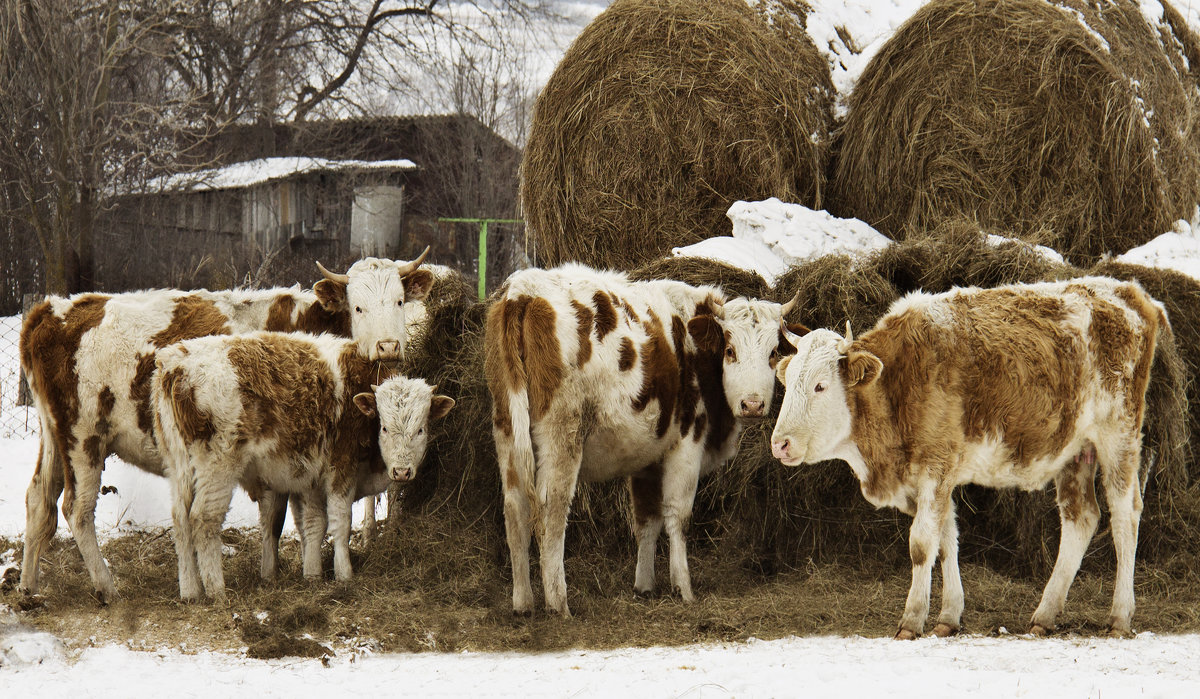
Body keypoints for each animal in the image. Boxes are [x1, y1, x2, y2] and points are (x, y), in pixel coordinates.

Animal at [150, 333, 451, 602]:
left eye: (421, 429)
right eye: (385, 428)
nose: (402, 471)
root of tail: (176, 365)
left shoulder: (309, 478)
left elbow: (314, 524)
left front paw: (312, 574)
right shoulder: (340, 469)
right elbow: (340, 522)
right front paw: (344, 574)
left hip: (179, 467)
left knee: (181, 520)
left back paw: (190, 590)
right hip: (217, 468)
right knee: (203, 519)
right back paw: (216, 590)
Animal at [482, 264, 801, 619]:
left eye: (773, 353)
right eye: (730, 351)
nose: (753, 404)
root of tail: (524, 290)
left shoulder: (647, 458)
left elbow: (647, 518)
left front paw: (645, 585)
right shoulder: (687, 445)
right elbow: (678, 515)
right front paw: (683, 588)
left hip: (508, 432)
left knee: (515, 511)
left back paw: (523, 602)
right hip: (562, 436)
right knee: (551, 512)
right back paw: (559, 604)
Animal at [768, 278, 1171, 638]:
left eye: (820, 385)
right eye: (787, 383)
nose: (780, 444)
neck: (898, 384)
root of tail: (1130, 292)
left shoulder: (936, 467)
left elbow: (921, 545)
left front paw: (911, 620)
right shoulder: (937, 477)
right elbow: (946, 540)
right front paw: (948, 617)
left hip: (1119, 435)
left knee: (1125, 516)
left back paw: (1119, 617)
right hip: (1076, 451)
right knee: (1081, 518)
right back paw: (1045, 615)